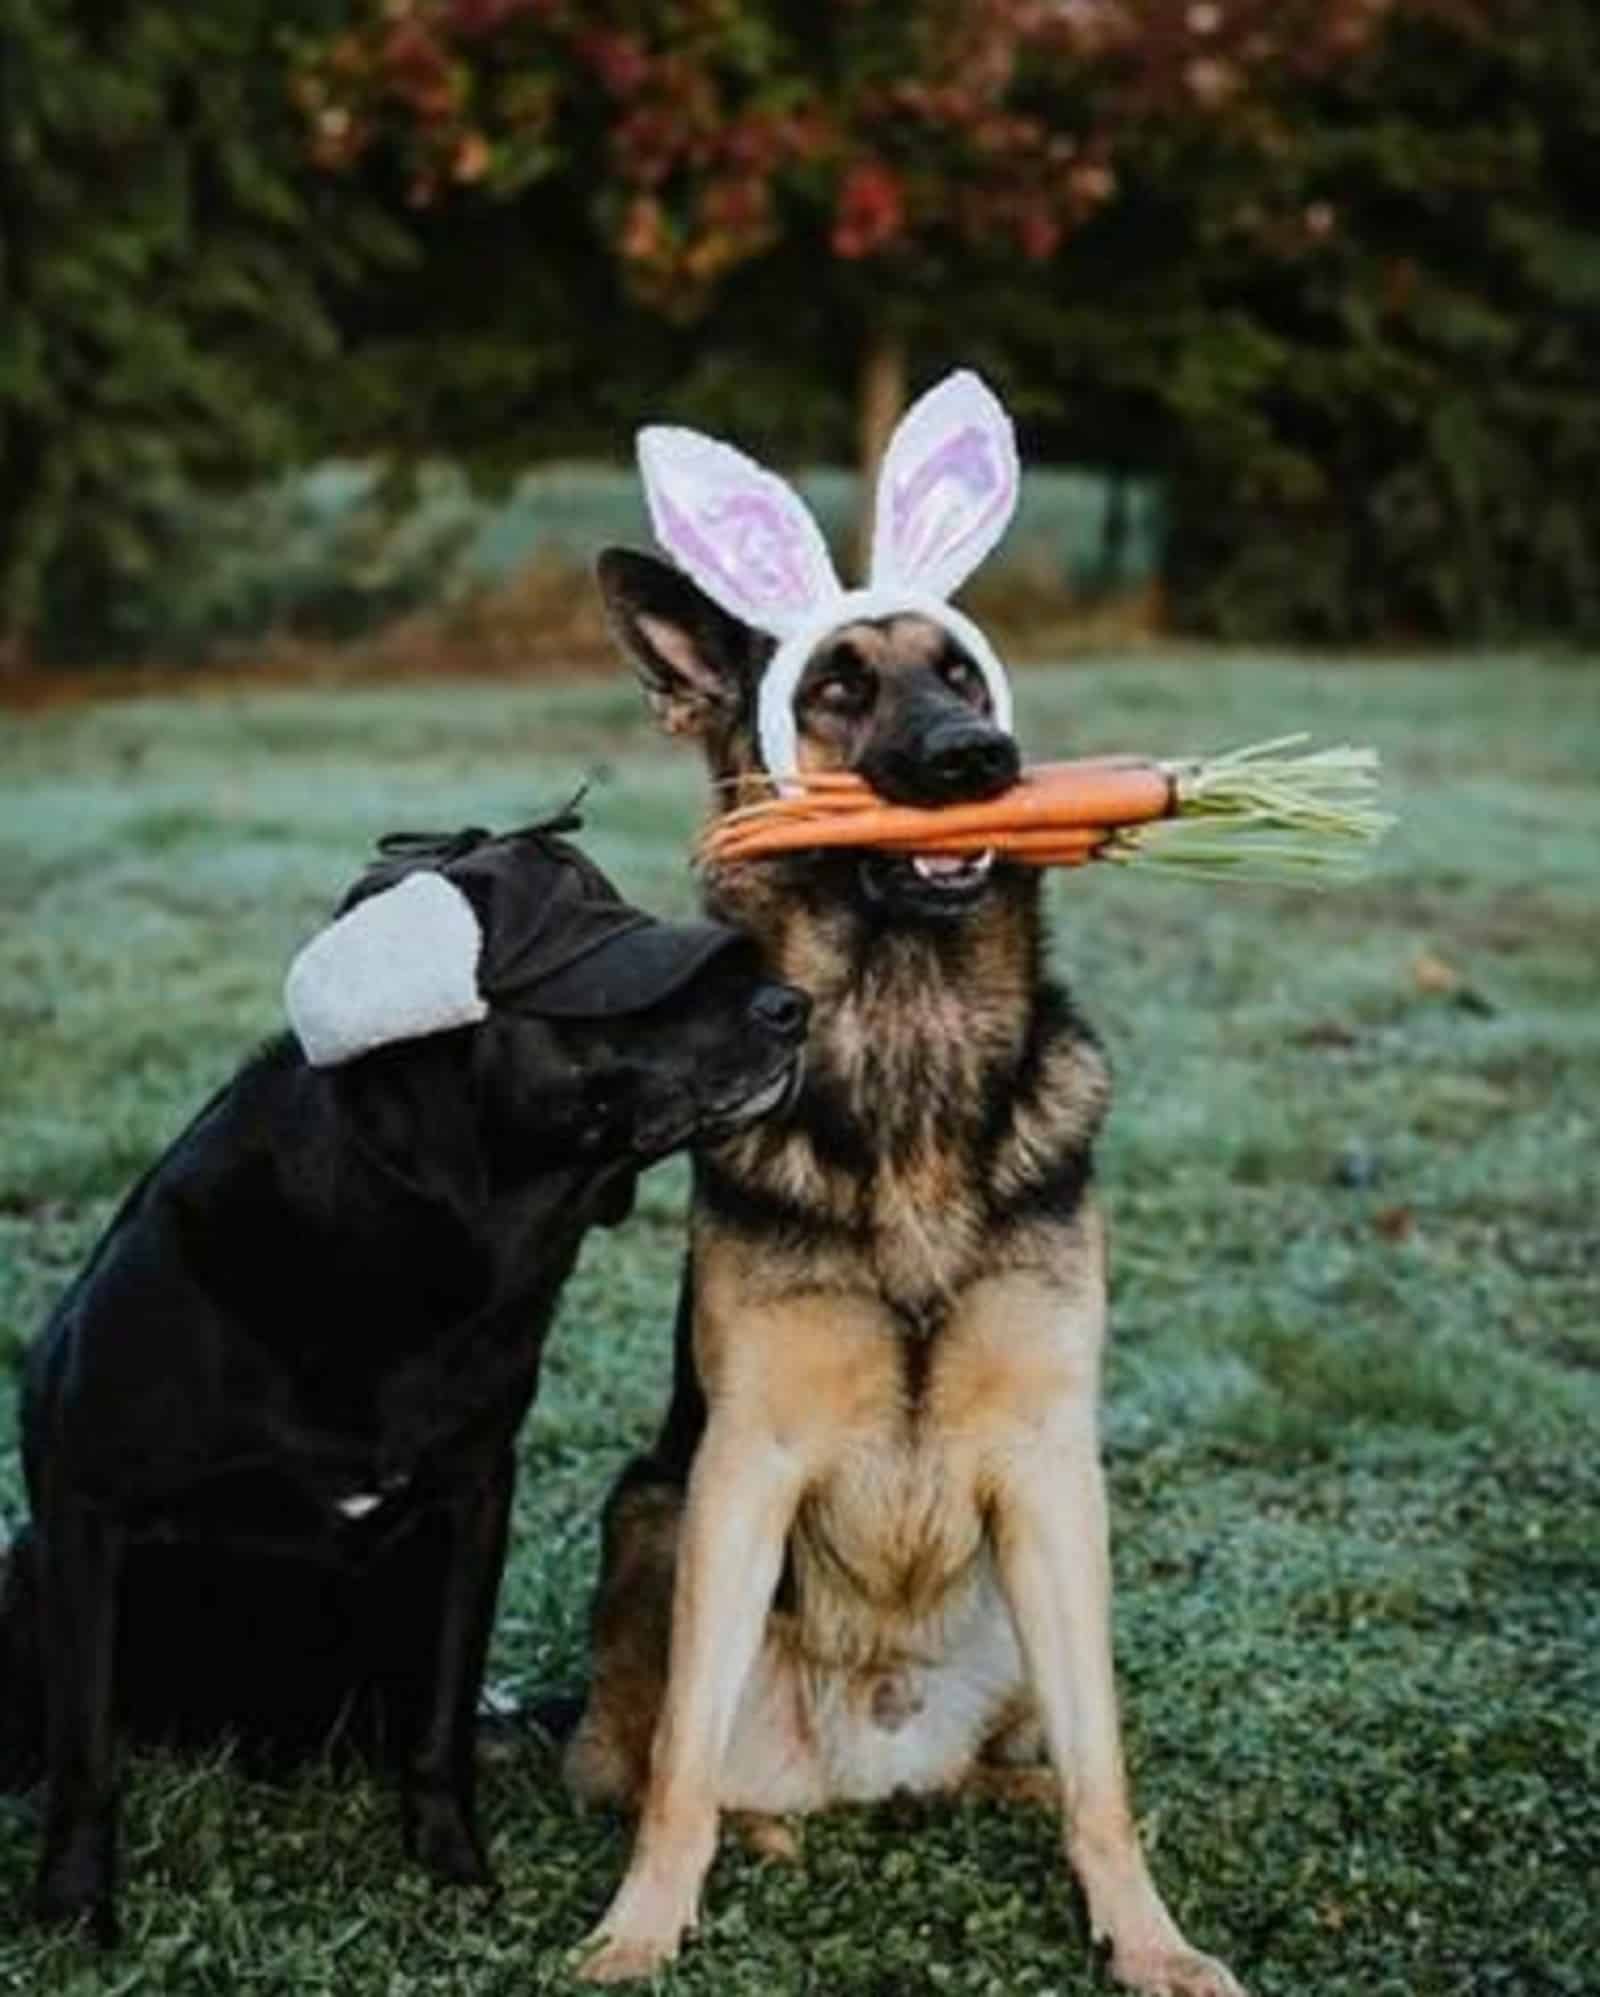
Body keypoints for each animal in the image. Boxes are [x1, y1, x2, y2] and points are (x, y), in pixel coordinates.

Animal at [0, 810, 799, 1933]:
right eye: (620, 970)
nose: (795, 1006)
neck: (416, 1232)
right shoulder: (84, 1506)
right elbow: (86, 1753)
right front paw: (73, 1906)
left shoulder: (472, 1506)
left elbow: (440, 1724)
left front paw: (454, 1867)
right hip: (23, 1565)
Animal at [563, 555, 1246, 1997]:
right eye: (831, 686)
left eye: (962, 675)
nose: (980, 758)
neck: (908, 1049)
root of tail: (868, 1760)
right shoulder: (740, 1467)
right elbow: (679, 1769)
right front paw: (640, 1926)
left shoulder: (1051, 1470)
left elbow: (1105, 1769)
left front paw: (1148, 1937)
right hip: (647, 1513)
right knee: (655, 1761)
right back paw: (756, 1827)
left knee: (1029, 1763)